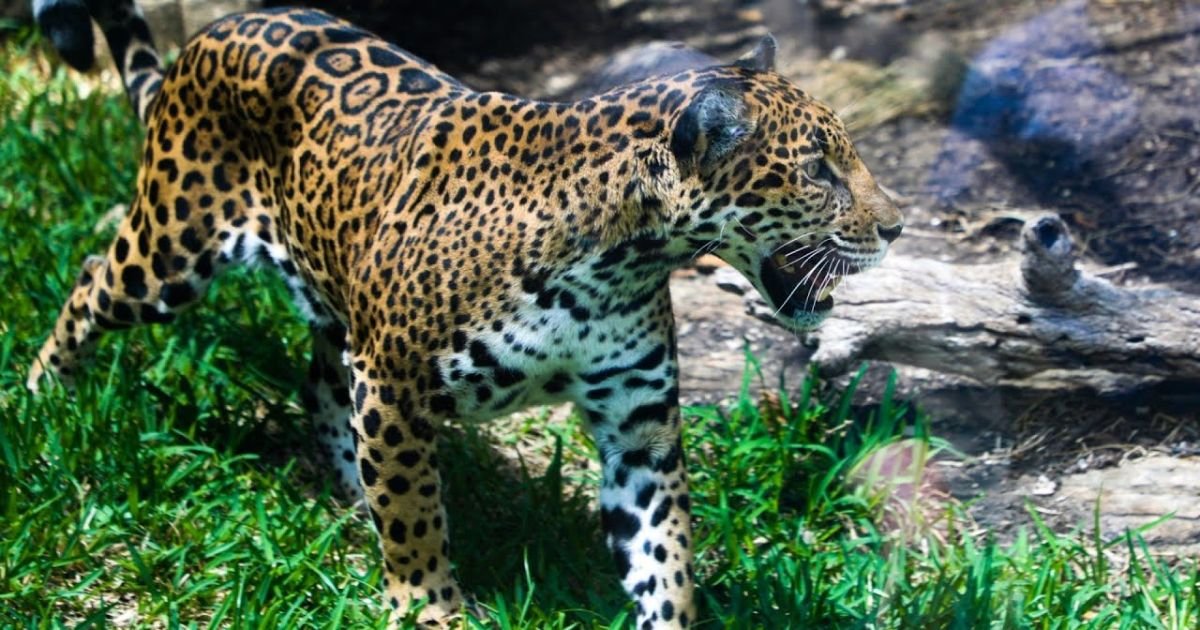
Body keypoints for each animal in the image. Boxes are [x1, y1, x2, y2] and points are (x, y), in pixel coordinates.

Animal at [28, 0, 903, 626]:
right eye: (819, 171)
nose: (896, 226)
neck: (620, 259)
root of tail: (212, 34)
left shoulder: (639, 420)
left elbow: (666, 555)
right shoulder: (393, 383)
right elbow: (416, 516)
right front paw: (428, 608)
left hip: (335, 297)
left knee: (320, 385)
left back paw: (347, 496)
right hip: (172, 251)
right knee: (91, 278)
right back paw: (42, 399)